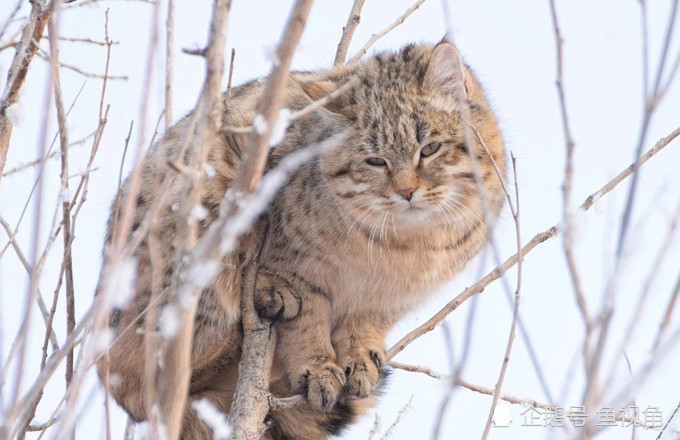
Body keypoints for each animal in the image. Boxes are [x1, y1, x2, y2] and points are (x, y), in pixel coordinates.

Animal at [99, 39, 504, 438]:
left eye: (430, 148)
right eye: (376, 161)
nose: (406, 191)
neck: (406, 246)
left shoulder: (393, 298)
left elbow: (366, 323)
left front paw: (360, 357)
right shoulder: (293, 258)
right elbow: (307, 319)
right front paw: (318, 368)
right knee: (155, 366)